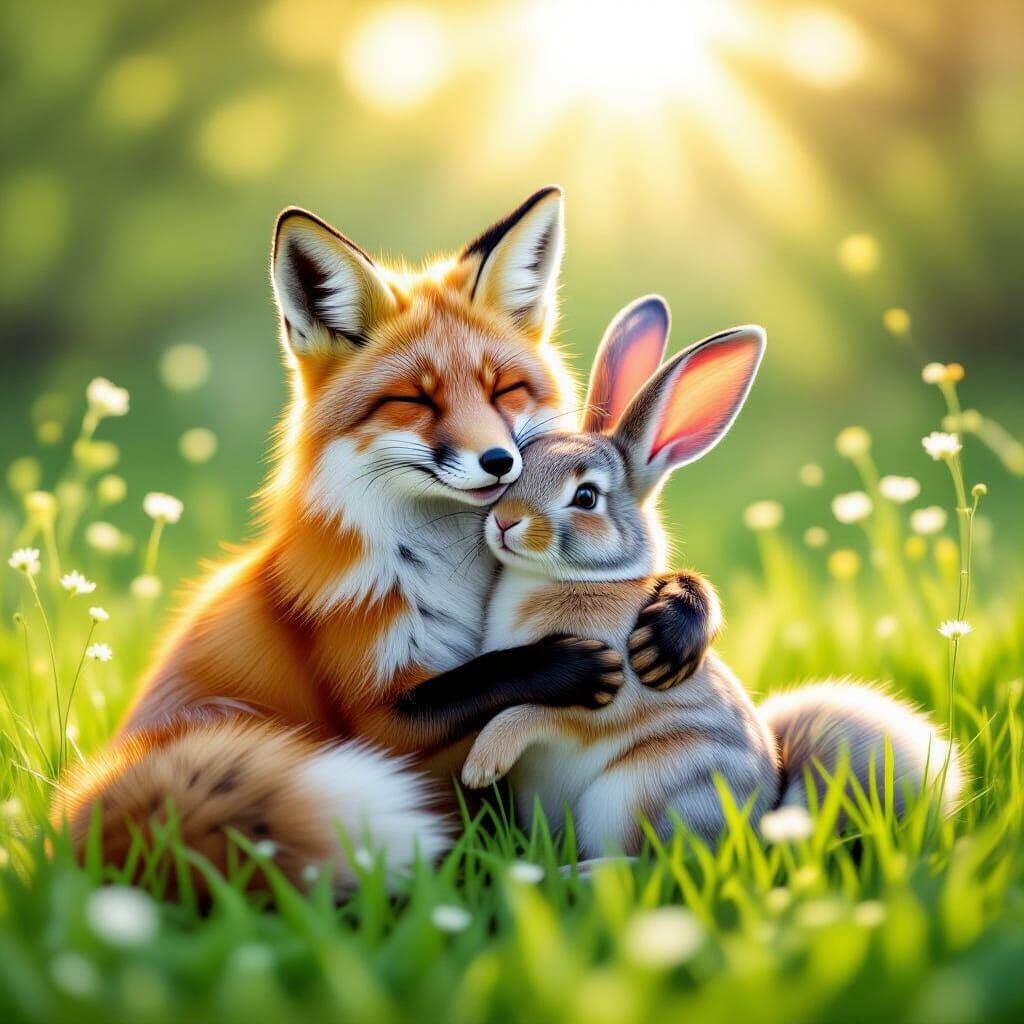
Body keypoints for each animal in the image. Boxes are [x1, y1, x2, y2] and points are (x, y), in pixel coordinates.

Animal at [55, 188, 715, 895]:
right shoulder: (372, 710)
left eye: (504, 390)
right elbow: (471, 682)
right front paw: (561, 668)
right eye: (413, 401)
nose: (499, 462)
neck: (454, 576)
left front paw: (678, 618)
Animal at [461, 296, 964, 857]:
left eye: (586, 496)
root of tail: (768, 823)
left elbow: (537, 714)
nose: (505, 521)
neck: (580, 579)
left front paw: (482, 763)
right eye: (520, 464)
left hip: (645, 789)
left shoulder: (608, 696)